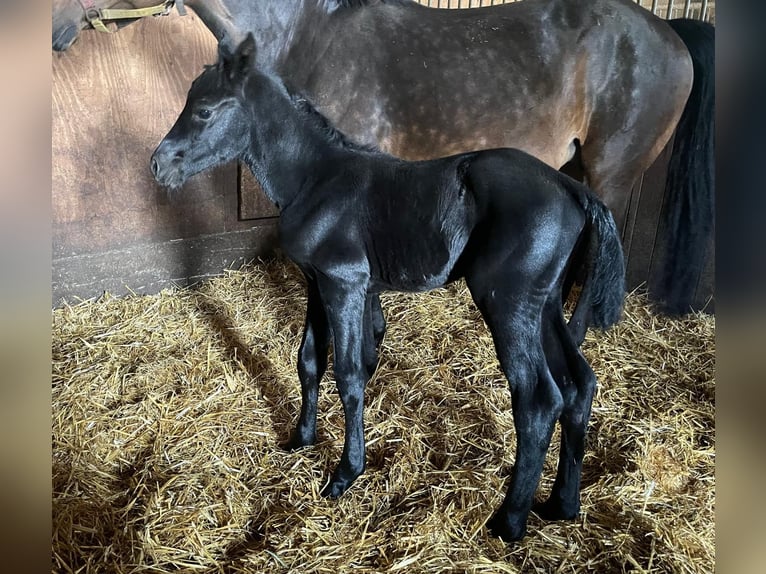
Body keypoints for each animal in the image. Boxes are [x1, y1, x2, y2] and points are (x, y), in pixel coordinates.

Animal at [151, 34, 626, 542]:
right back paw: (562, 504)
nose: (158, 165)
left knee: (538, 399)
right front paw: (301, 439)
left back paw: (510, 521)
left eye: (204, 111)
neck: (315, 179)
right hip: (547, 305)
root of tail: (574, 189)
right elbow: (310, 361)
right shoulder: (319, 283)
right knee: (579, 384)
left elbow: (349, 374)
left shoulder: (345, 283)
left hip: (508, 304)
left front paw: (344, 474)